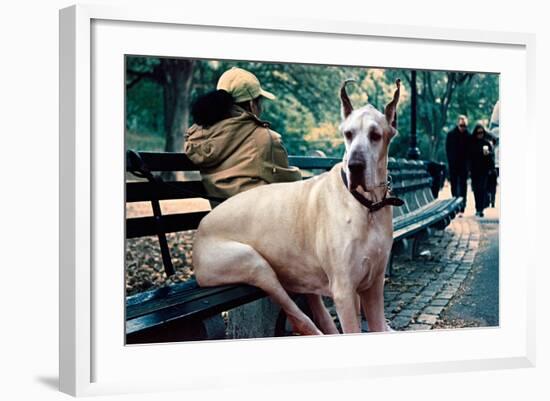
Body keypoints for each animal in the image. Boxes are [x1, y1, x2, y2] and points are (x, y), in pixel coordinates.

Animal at [196, 79, 404, 334]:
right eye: (348, 134)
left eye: (375, 135)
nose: (355, 165)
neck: (367, 206)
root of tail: (200, 227)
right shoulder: (344, 291)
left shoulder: (373, 285)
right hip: (253, 263)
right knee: (297, 315)